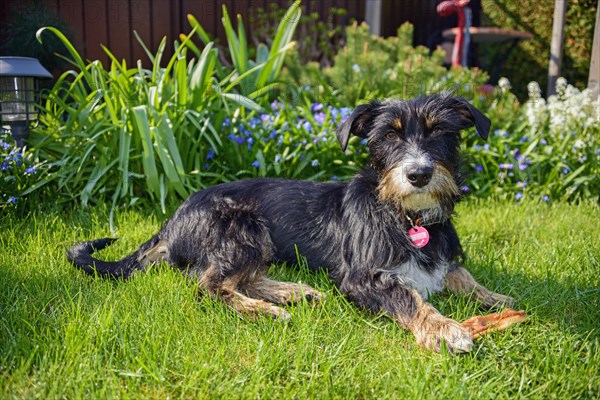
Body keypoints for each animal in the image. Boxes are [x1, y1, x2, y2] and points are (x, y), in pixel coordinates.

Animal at [69, 94, 516, 354]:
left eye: (441, 132)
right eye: (389, 137)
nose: (420, 174)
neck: (405, 215)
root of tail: (170, 223)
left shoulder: (444, 257)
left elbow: (460, 274)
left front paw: (496, 298)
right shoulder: (363, 278)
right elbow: (410, 297)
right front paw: (443, 329)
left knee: (239, 277)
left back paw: (294, 292)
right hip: (241, 227)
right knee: (208, 286)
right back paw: (266, 310)